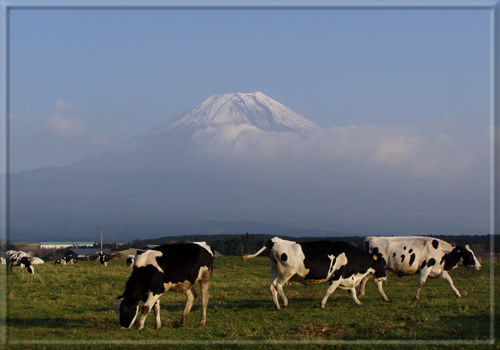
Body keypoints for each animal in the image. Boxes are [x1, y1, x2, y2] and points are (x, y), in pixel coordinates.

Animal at [242, 238, 386, 308]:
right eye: (383, 264)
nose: (385, 278)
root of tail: (275, 241)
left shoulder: (346, 277)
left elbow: (353, 291)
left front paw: (358, 302)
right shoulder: (338, 275)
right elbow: (330, 291)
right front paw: (322, 304)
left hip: (275, 271)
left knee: (272, 286)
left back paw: (276, 305)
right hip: (286, 272)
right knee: (278, 285)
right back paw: (285, 302)